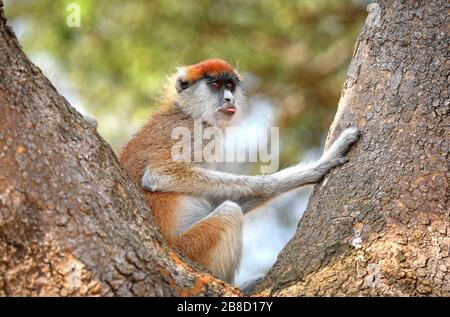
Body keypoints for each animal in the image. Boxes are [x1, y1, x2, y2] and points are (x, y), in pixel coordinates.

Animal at [118, 58, 358, 284]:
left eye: (230, 85)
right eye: (216, 84)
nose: (229, 99)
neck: (189, 111)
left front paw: (315, 169)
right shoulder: (197, 134)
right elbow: (157, 175)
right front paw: (271, 183)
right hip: (192, 248)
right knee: (229, 212)